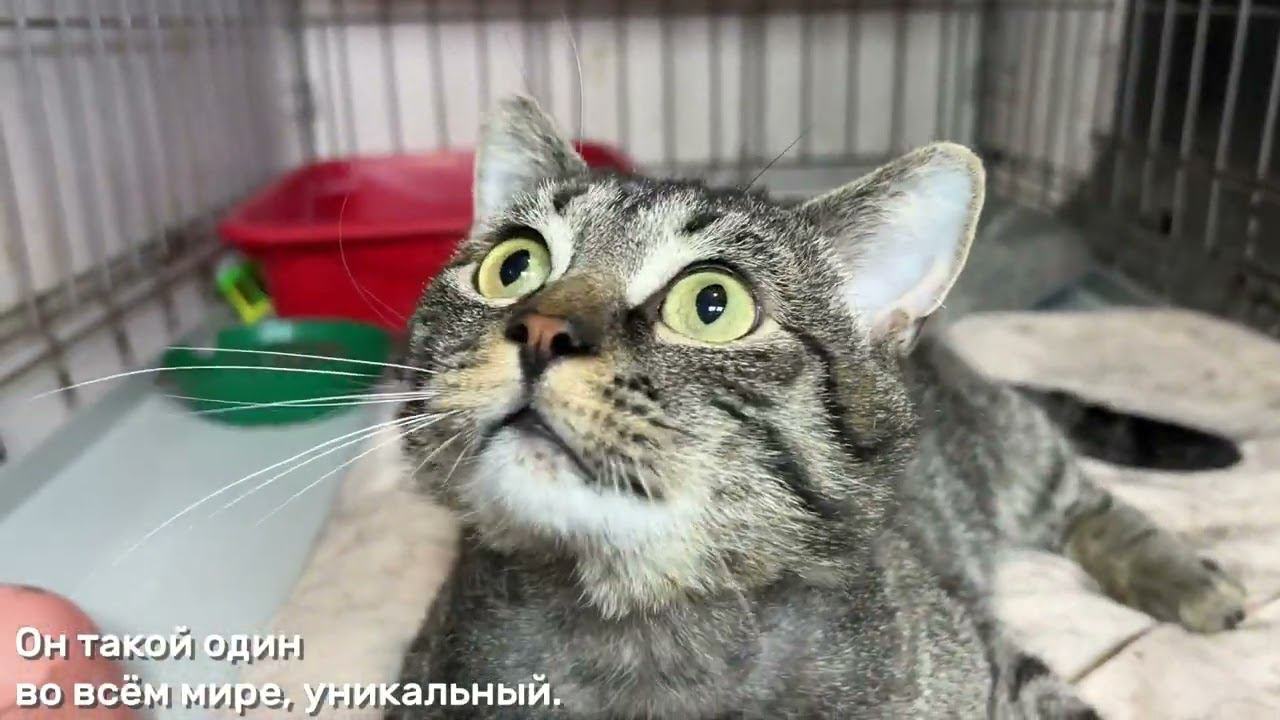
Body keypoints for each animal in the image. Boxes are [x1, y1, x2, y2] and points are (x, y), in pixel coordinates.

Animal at [248, 95, 1247, 719]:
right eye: (513, 266)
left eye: (713, 304)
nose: (539, 329)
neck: (644, 634)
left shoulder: (996, 665)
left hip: (1011, 456)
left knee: (1085, 499)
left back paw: (1189, 583)